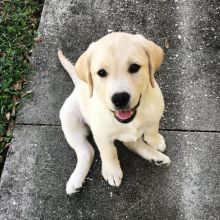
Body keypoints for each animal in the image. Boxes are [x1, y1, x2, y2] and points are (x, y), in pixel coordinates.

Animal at [57, 32, 171, 194]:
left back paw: (157, 158)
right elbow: (109, 152)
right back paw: (75, 181)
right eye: (101, 73)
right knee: (87, 151)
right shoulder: (101, 135)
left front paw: (155, 141)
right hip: (69, 118)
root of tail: (79, 84)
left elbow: (152, 129)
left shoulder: (155, 112)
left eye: (134, 67)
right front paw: (111, 171)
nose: (120, 98)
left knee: (131, 143)